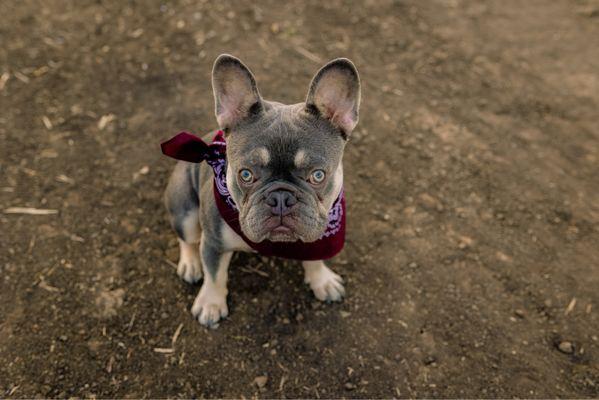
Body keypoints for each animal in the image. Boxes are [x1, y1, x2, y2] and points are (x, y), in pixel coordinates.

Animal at [164, 54, 360, 328]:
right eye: (246, 174)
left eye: (318, 175)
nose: (280, 197)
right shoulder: (213, 242)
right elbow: (214, 275)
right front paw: (211, 304)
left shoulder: (317, 235)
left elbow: (314, 257)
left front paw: (322, 280)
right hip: (185, 210)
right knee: (188, 239)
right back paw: (190, 265)